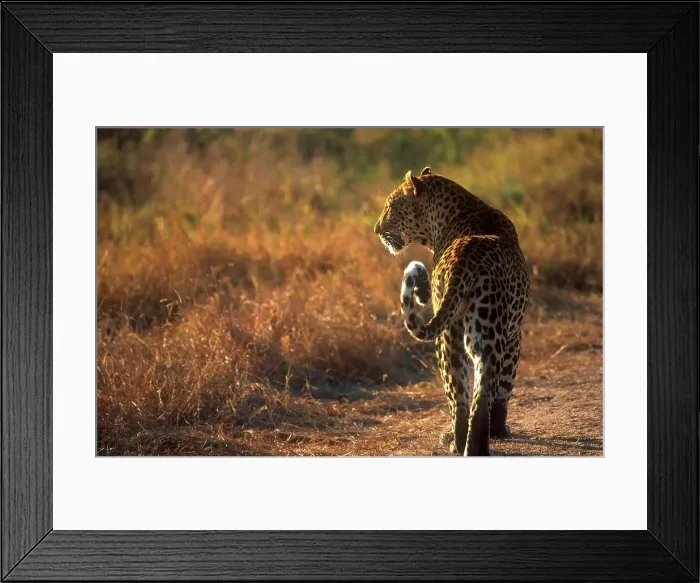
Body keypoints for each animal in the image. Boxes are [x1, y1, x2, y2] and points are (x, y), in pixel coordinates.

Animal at [374, 167, 530, 456]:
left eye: (390, 206)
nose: (376, 229)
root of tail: (465, 257)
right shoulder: (514, 336)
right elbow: (504, 386)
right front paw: (499, 430)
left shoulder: (513, 335)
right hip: (476, 333)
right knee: (476, 394)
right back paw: (470, 445)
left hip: (453, 336)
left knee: (462, 394)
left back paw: (460, 443)